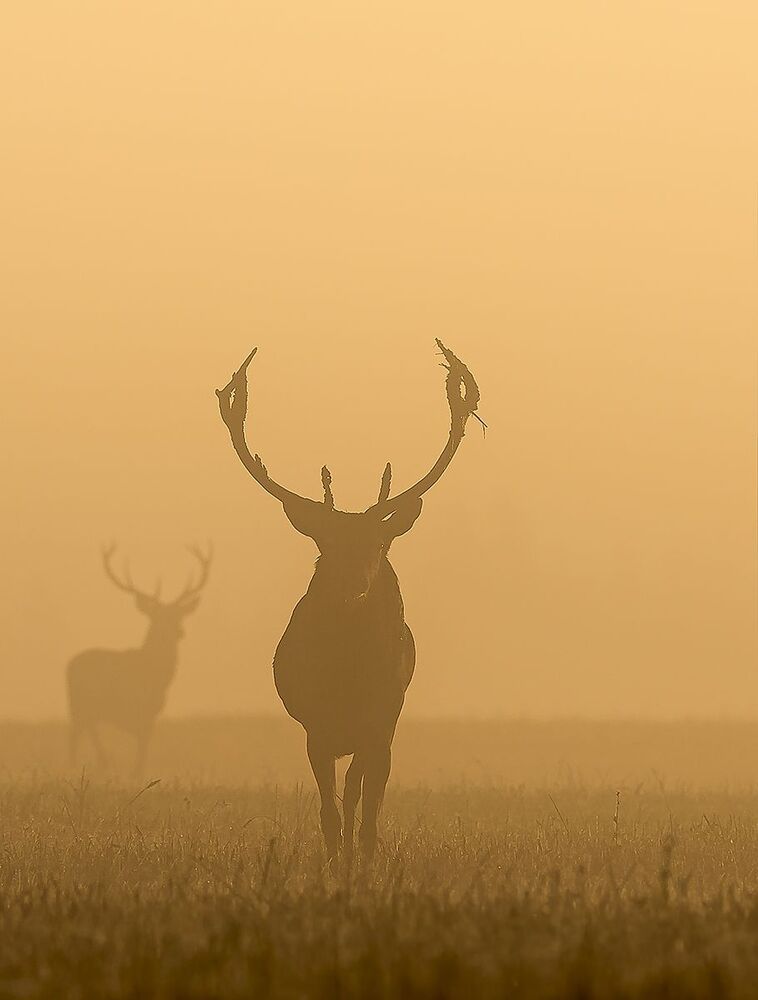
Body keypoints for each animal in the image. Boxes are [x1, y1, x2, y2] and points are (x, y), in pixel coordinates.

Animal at [66, 544, 212, 777]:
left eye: (178, 615)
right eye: (157, 617)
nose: (179, 632)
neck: (155, 678)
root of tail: (69, 665)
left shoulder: (150, 716)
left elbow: (143, 752)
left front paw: (137, 774)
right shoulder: (135, 711)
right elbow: (140, 753)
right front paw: (135, 775)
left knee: (83, 731)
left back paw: (97, 762)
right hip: (82, 703)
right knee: (79, 732)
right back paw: (89, 763)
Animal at [216, 339, 483, 863]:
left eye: (378, 545)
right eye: (325, 545)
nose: (352, 584)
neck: (349, 674)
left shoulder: (380, 720)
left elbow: (363, 796)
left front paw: (362, 857)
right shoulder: (315, 725)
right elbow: (328, 807)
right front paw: (335, 858)